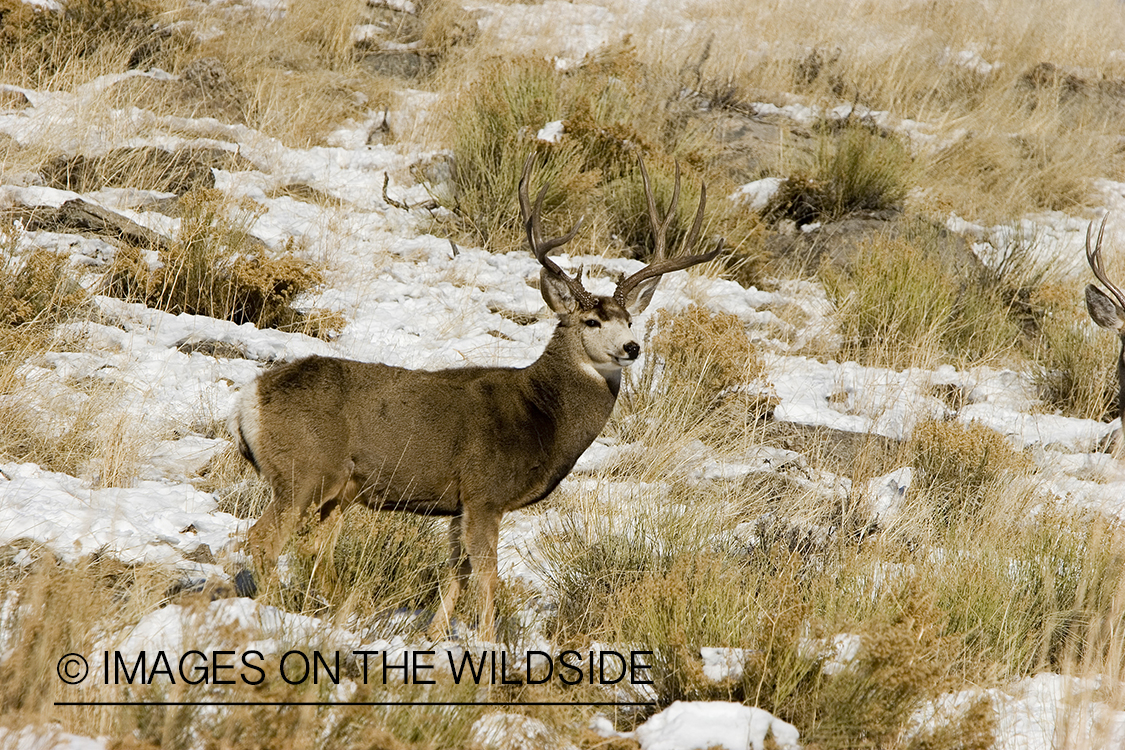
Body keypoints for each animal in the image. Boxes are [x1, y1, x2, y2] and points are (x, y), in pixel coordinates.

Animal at [228, 152, 723, 641]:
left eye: (630, 320)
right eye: (591, 322)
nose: (632, 348)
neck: (541, 415)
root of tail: (248, 398)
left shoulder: (459, 503)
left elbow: (457, 572)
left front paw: (433, 637)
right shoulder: (485, 490)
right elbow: (487, 573)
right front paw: (487, 641)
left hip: (342, 488)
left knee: (314, 548)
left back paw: (343, 614)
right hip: (305, 469)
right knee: (264, 538)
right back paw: (272, 612)